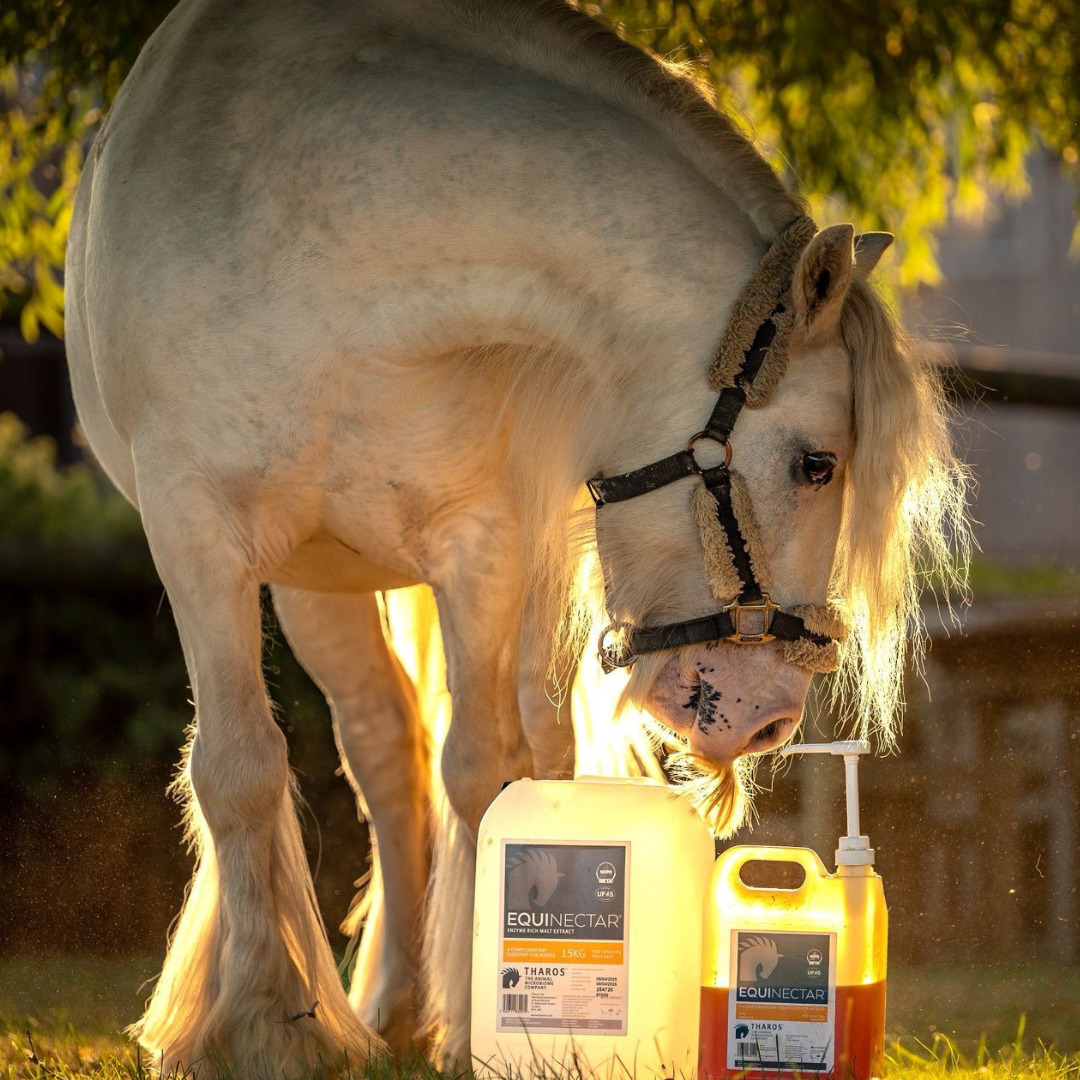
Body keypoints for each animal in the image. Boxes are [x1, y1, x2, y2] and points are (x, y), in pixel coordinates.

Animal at [63, 0, 968, 1074]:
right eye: (818, 462)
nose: (770, 720)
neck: (331, 224)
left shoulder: (482, 537)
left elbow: (482, 768)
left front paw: (469, 1022)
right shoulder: (197, 527)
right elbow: (239, 768)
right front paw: (257, 1025)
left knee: (514, 744)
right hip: (317, 580)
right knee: (383, 760)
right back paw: (385, 1005)